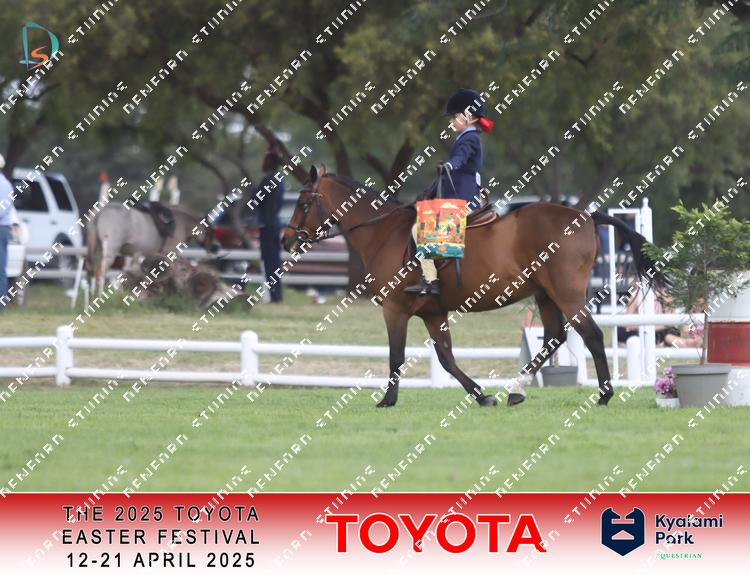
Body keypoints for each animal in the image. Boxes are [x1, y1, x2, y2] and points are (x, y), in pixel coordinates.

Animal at [85, 202, 218, 292]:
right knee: (100, 273)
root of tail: (101, 212)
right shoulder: (170, 252)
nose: (215, 248)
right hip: (110, 252)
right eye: (210, 230)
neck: (180, 222)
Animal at [282, 165, 667, 408]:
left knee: (592, 336)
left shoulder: (395, 310)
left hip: (567, 294)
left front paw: (387, 400)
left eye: (303, 202)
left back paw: (604, 395)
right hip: (544, 294)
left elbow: (396, 357)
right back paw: (516, 391)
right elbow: (447, 358)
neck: (383, 232)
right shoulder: (434, 313)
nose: (286, 240)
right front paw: (482, 395)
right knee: (554, 337)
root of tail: (585, 215)